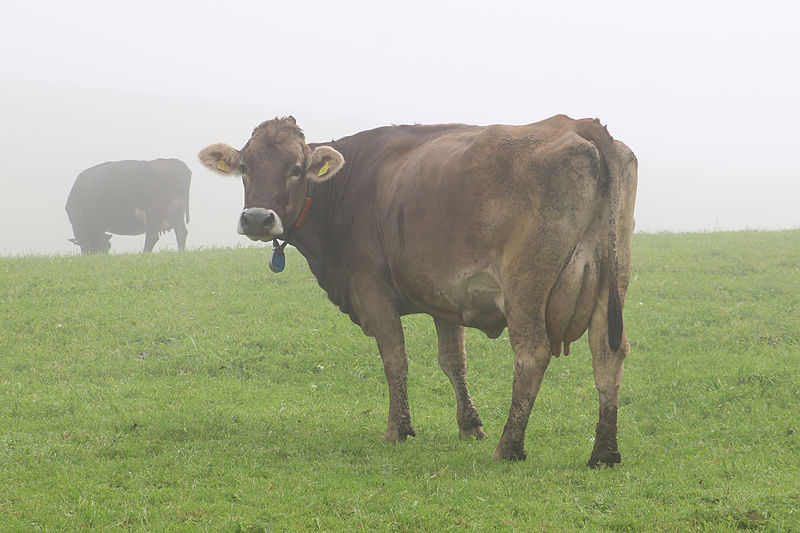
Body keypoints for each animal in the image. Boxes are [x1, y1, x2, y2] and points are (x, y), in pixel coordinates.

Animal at [198, 113, 636, 466]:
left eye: (295, 168)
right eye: (245, 167)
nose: (258, 218)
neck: (346, 186)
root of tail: (577, 123)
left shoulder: (374, 291)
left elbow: (396, 359)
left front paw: (399, 429)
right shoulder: (447, 297)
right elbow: (453, 362)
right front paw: (469, 426)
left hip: (525, 288)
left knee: (532, 355)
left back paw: (508, 447)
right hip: (612, 280)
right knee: (608, 354)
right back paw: (604, 452)